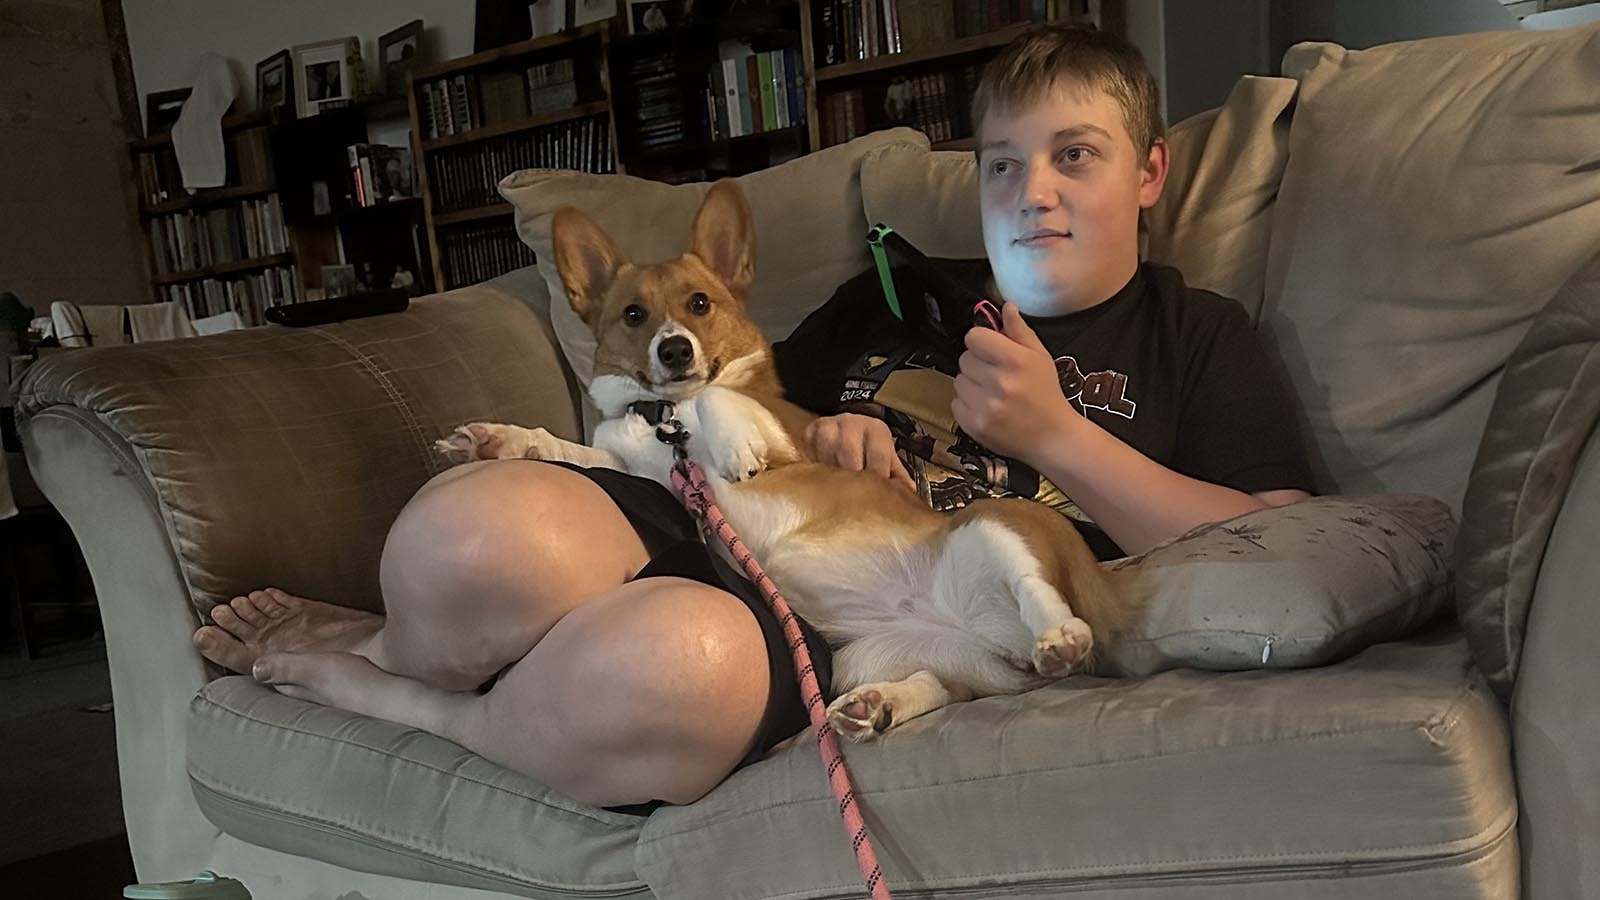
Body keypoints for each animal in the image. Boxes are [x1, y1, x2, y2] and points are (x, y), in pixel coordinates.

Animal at [438, 180, 1139, 736]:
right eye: (633, 315)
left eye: (699, 303)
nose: (674, 350)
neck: (663, 420)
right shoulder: (635, 466)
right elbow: (566, 449)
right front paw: (494, 440)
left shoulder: (787, 429)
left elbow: (717, 395)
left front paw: (732, 445)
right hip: (873, 658)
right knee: (940, 685)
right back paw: (879, 705)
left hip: (994, 529)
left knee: (1034, 585)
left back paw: (1059, 635)